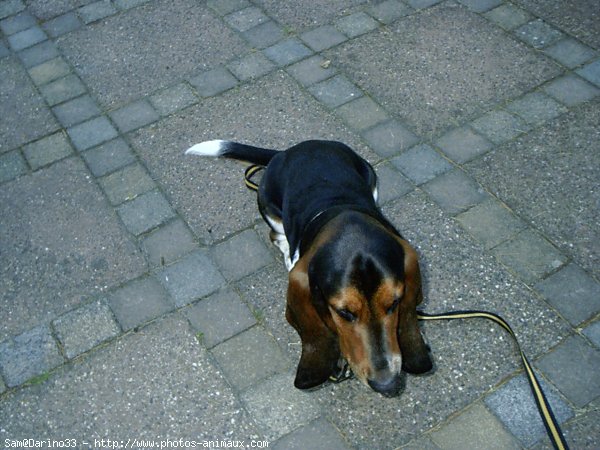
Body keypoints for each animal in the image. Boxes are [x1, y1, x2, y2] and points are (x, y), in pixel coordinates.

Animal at [184, 139, 432, 396]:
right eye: (344, 313)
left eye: (394, 303)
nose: (388, 385)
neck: (341, 210)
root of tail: (295, 148)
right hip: (268, 206)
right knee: (276, 235)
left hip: (370, 176)